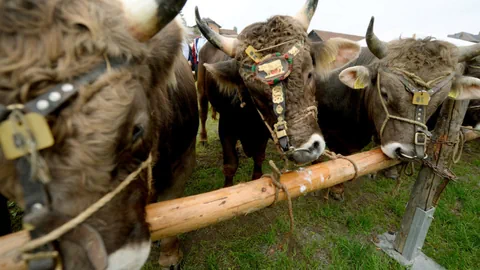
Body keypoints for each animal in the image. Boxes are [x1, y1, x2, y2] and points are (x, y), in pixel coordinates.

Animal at [194, 0, 360, 186]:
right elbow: (230, 166)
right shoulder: (226, 127)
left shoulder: (263, 136)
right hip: (201, 89)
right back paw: (203, 139)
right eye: (253, 91)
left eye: (310, 74)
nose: (305, 150)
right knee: (202, 112)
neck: (250, 119)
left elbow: (258, 162)